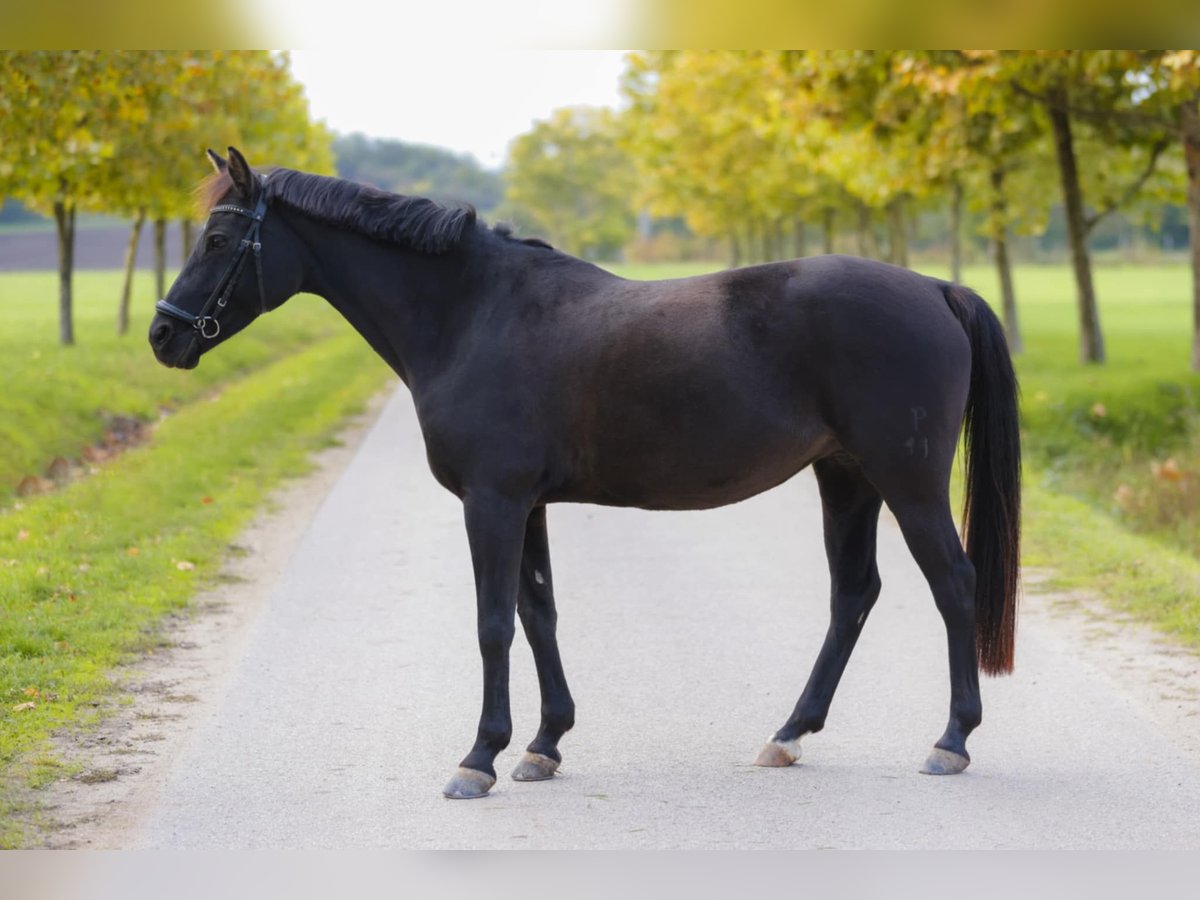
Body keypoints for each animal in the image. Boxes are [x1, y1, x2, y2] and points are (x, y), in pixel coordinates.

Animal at [145, 150, 1017, 801]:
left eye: (218, 239)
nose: (162, 335)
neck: (473, 314)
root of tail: (934, 288)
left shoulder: (492, 503)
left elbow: (493, 623)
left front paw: (479, 758)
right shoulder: (526, 505)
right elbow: (539, 614)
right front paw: (543, 744)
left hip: (906, 483)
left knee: (953, 584)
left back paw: (951, 741)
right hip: (845, 478)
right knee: (853, 594)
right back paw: (788, 735)